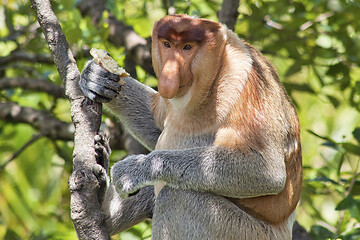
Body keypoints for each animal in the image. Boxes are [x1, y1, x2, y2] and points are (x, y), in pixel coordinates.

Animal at [79, 14, 300, 239]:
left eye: (187, 47)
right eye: (167, 44)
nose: (169, 75)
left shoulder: (246, 80)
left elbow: (267, 171)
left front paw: (137, 168)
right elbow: (157, 123)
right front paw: (96, 77)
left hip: (243, 231)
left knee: (176, 195)